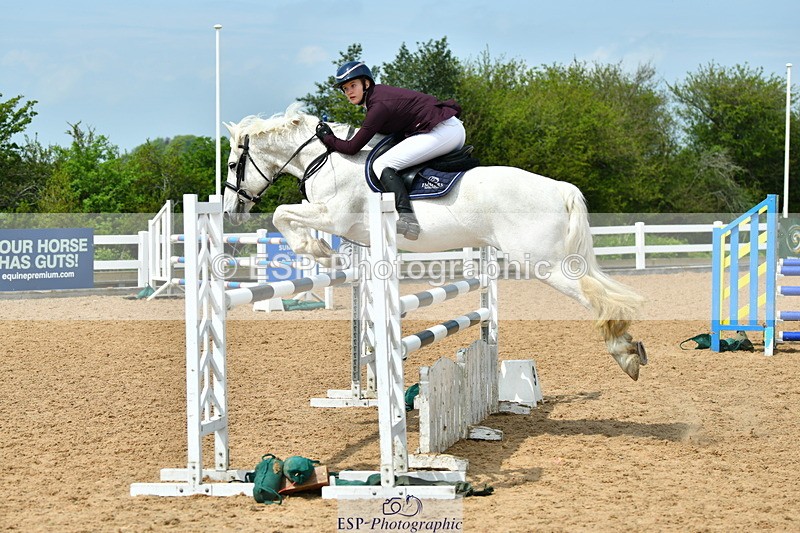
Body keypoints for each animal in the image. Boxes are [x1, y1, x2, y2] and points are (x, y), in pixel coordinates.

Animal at [222, 102, 648, 380]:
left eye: (231, 165)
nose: (230, 210)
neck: (327, 159)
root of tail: (559, 187)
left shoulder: (335, 216)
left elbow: (282, 214)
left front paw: (319, 252)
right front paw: (322, 253)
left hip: (543, 262)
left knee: (596, 296)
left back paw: (622, 352)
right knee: (604, 290)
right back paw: (630, 347)